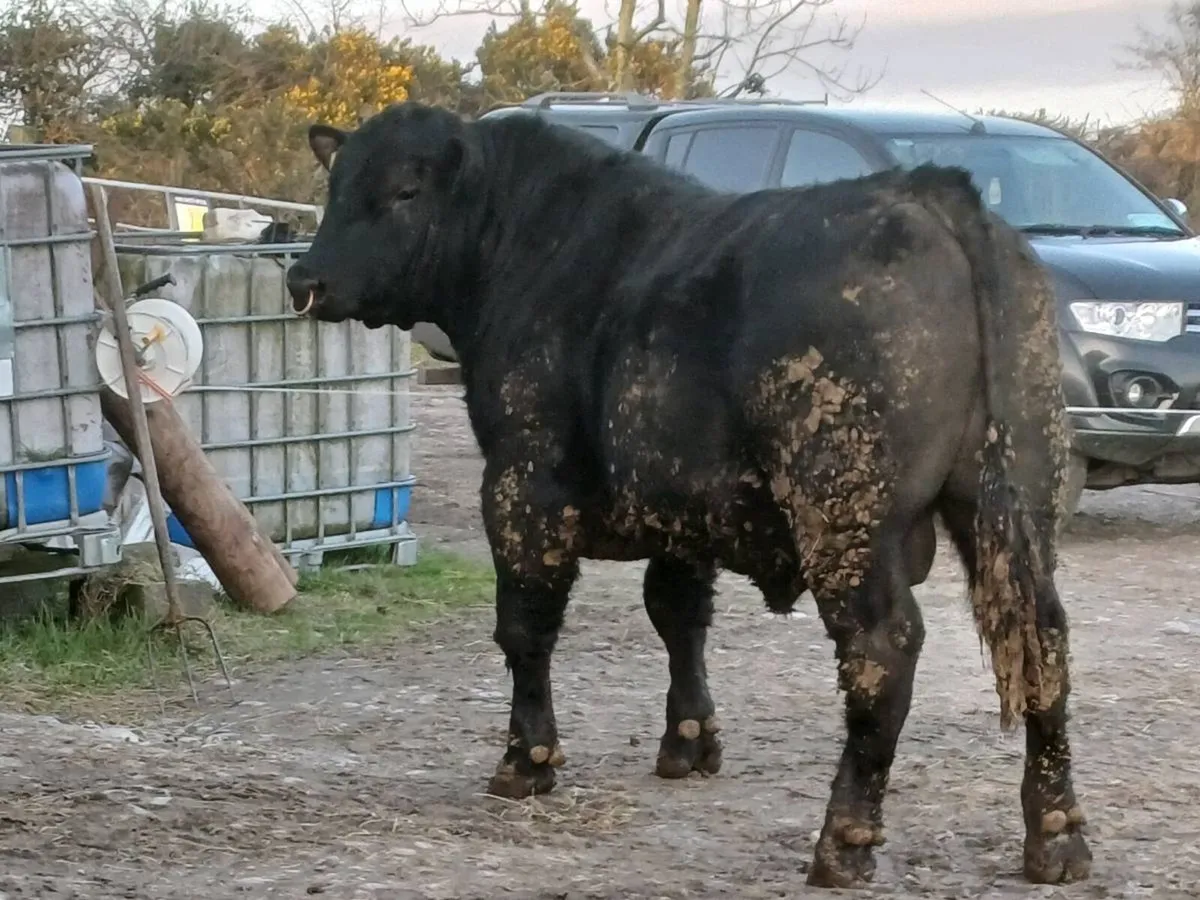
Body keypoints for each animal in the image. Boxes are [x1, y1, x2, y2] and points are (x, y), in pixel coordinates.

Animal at [285, 102, 1092, 889]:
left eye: (404, 190)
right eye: (337, 184)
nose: (304, 281)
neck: (529, 248)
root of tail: (936, 194)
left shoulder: (523, 485)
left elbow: (526, 626)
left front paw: (526, 762)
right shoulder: (681, 505)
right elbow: (678, 616)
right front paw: (689, 742)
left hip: (846, 514)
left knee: (881, 653)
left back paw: (842, 842)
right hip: (1016, 498)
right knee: (1044, 642)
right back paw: (1056, 838)